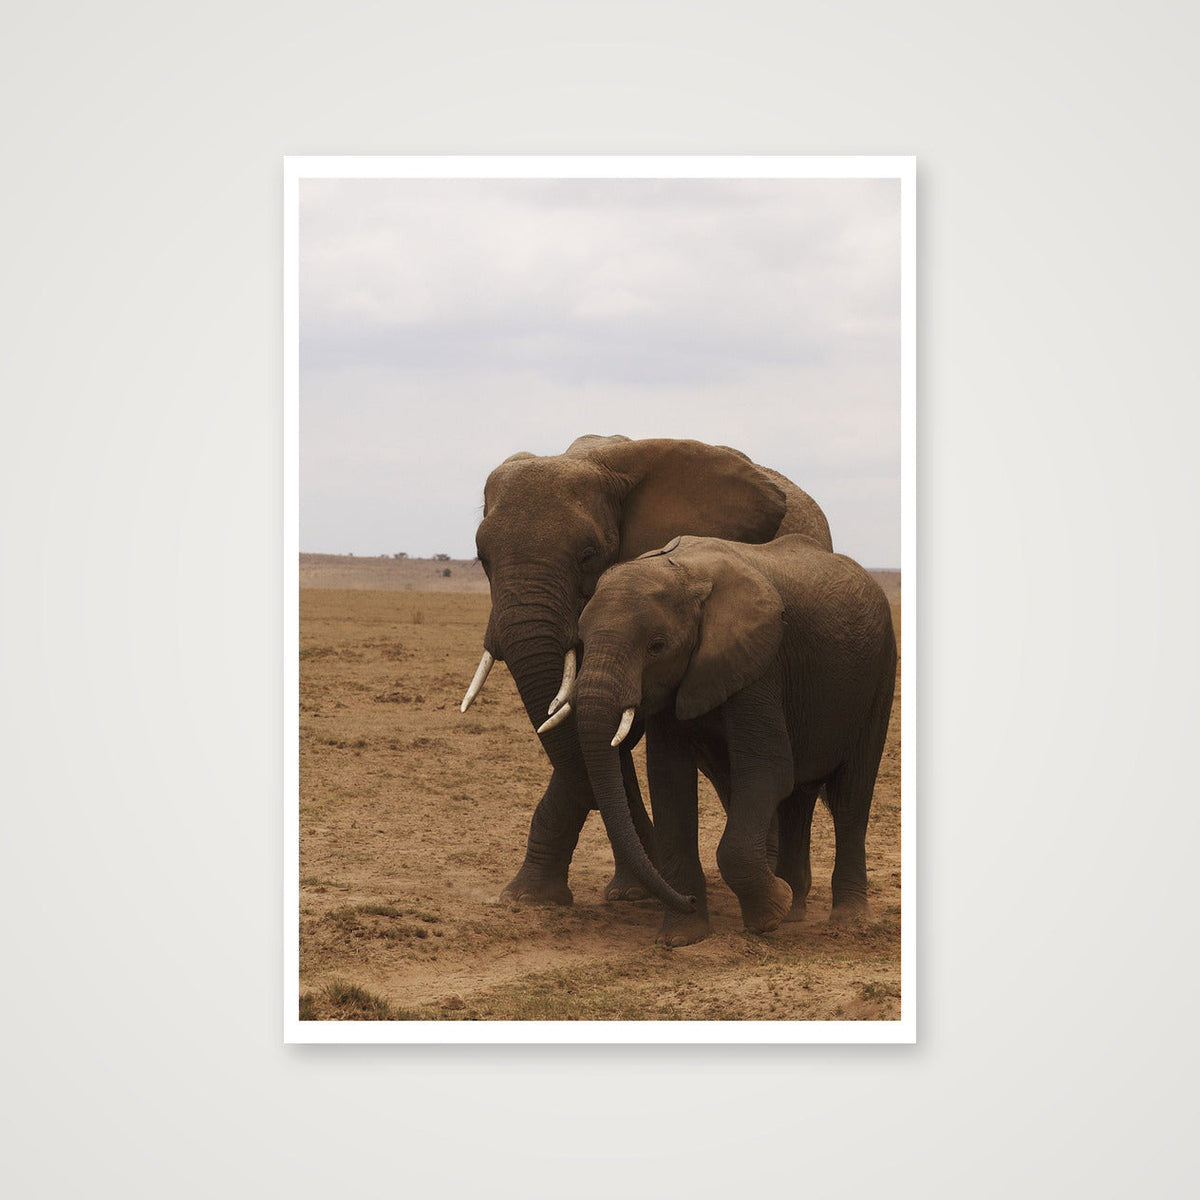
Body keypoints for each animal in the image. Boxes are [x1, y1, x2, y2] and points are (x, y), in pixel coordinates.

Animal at [563, 532, 897, 946]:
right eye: (581, 640)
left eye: (657, 646)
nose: (688, 900)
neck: (685, 576)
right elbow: (669, 781)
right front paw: (681, 937)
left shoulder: (760, 664)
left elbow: (767, 771)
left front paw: (768, 916)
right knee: (797, 800)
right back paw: (795, 909)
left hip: (880, 672)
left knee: (851, 796)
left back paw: (846, 920)